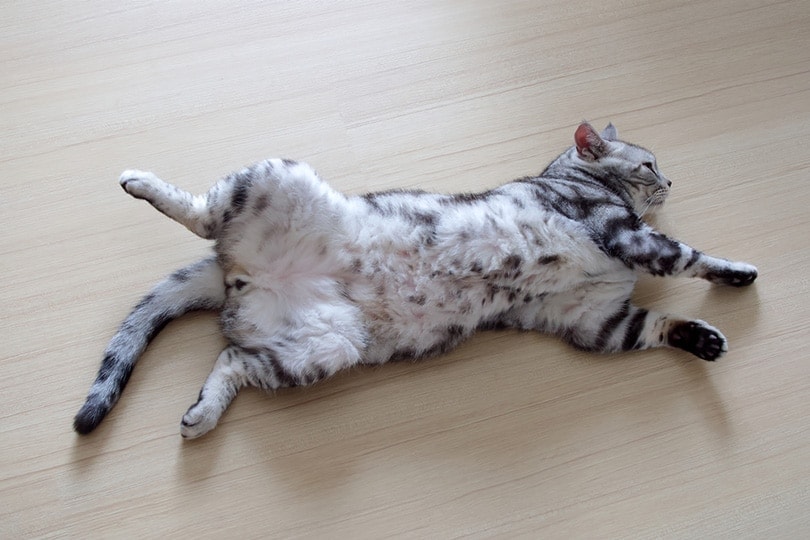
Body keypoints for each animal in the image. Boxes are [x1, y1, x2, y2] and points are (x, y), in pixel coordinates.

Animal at [74, 122, 756, 438]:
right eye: (649, 165)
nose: (671, 180)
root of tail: (233, 275)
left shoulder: (598, 321)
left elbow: (657, 325)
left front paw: (704, 339)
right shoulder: (619, 233)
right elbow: (687, 256)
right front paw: (738, 272)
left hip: (322, 347)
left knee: (232, 360)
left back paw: (202, 415)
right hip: (275, 175)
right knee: (199, 214)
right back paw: (141, 182)